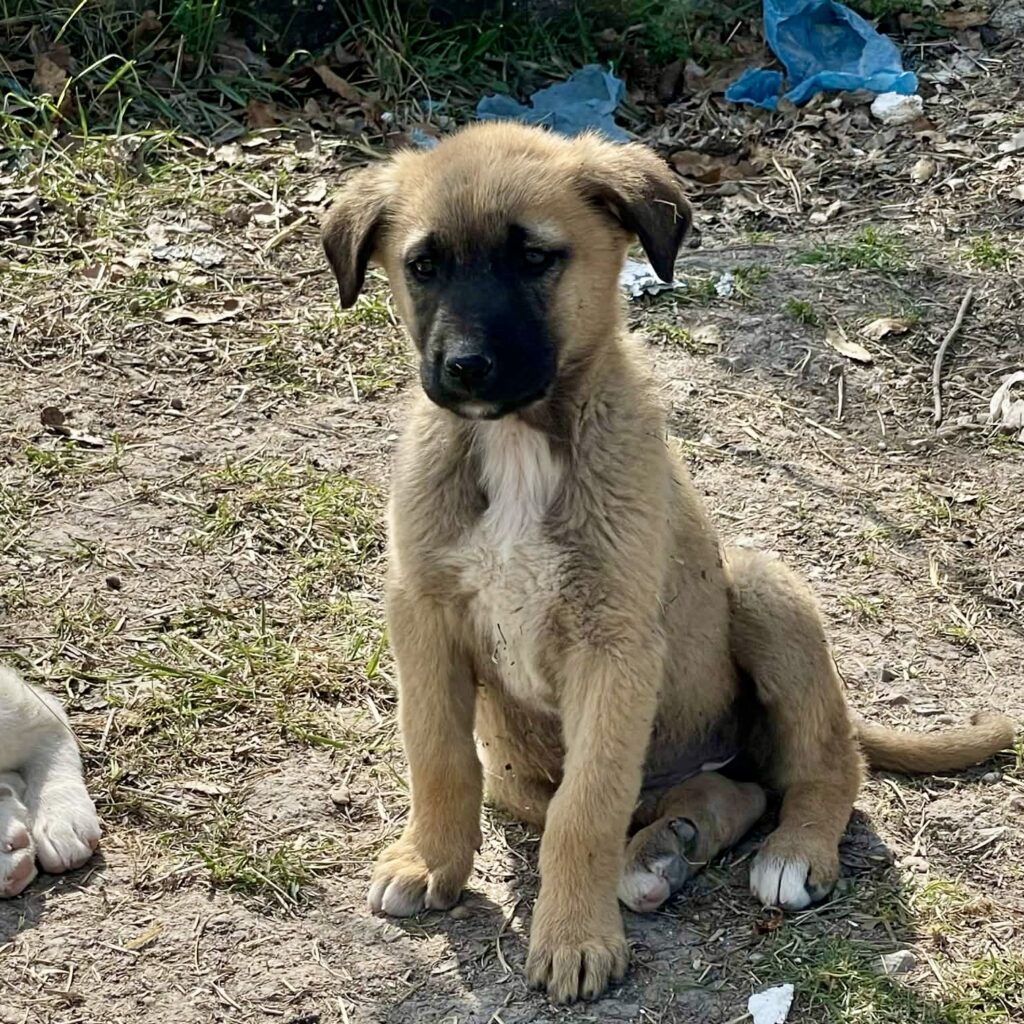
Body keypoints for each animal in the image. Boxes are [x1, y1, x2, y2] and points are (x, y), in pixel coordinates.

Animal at [321, 122, 1015, 1003]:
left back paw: (788, 852)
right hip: (522, 767)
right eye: (424, 266)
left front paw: (574, 938)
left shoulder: (612, 643)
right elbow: (439, 758)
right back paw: (665, 846)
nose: (467, 368)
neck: (518, 441)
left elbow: (586, 810)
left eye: (536, 258)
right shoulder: (425, 614)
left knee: (826, 762)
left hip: (762, 590)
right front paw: (430, 862)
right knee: (729, 788)